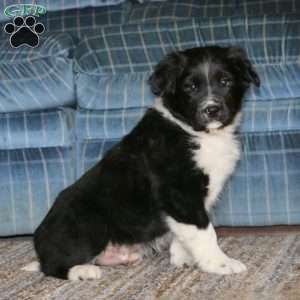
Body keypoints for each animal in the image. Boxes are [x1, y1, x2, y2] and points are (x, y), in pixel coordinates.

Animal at [31, 45, 260, 280]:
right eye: (190, 87)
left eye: (225, 82)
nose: (211, 110)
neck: (196, 133)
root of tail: (39, 244)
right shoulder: (180, 193)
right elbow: (204, 231)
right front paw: (220, 264)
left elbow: (184, 234)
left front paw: (183, 259)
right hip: (87, 223)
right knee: (52, 266)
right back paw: (82, 270)